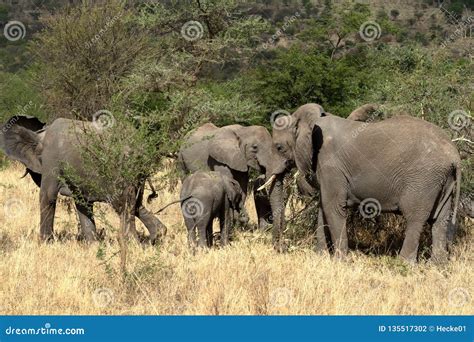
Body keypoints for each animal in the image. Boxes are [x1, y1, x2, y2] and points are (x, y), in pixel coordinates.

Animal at [0, 116, 167, 242]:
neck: (40, 135)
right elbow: (82, 202)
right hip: (138, 172)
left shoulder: (52, 159)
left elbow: (48, 195)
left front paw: (45, 243)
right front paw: (92, 244)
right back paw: (157, 236)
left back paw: (131, 242)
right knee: (136, 203)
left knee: (122, 203)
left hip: (122, 168)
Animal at [262, 103, 462, 262]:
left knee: (415, 217)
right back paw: (437, 265)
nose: (282, 248)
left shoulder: (331, 165)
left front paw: (340, 262)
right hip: (443, 180)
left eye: (279, 147)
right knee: (440, 219)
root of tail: (454, 154)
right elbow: (323, 207)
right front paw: (321, 257)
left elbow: (333, 207)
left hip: (424, 178)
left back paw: (405, 264)